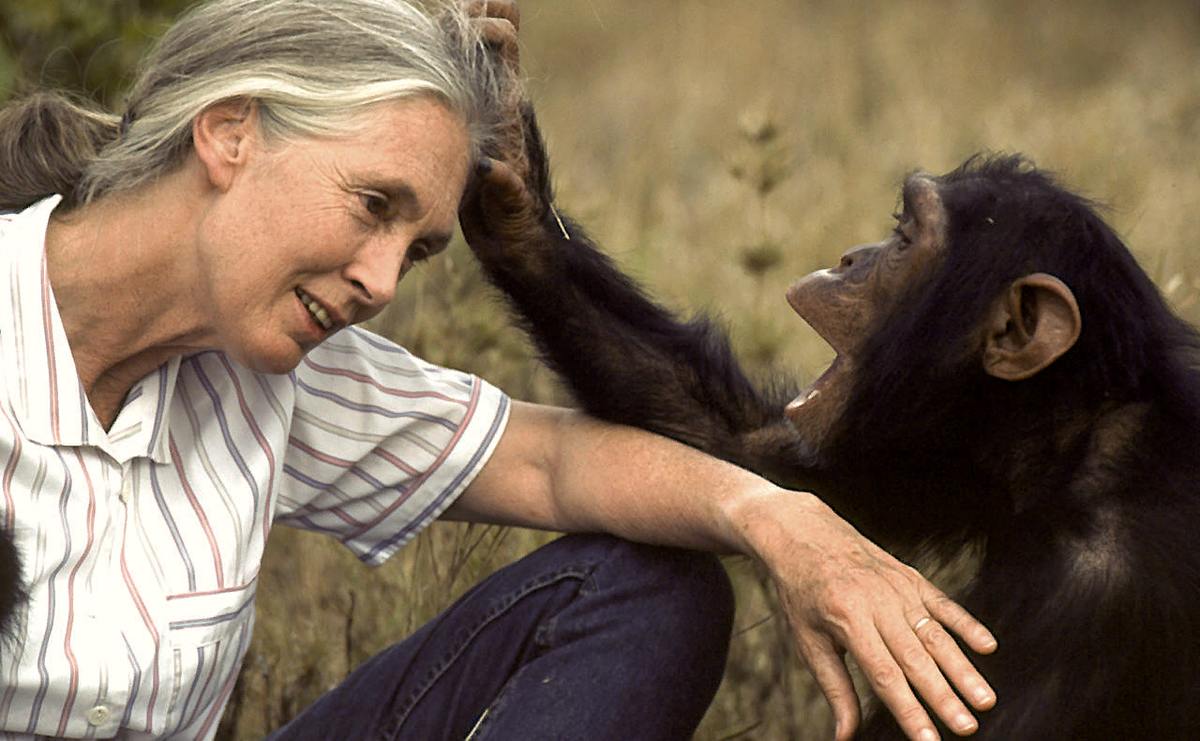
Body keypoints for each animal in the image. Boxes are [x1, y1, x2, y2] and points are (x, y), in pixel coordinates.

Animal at [456, 107, 1200, 733]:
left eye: (903, 240)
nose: (850, 257)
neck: (1067, 438)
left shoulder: (1096, 598)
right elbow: (766, 459)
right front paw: (515, 189)